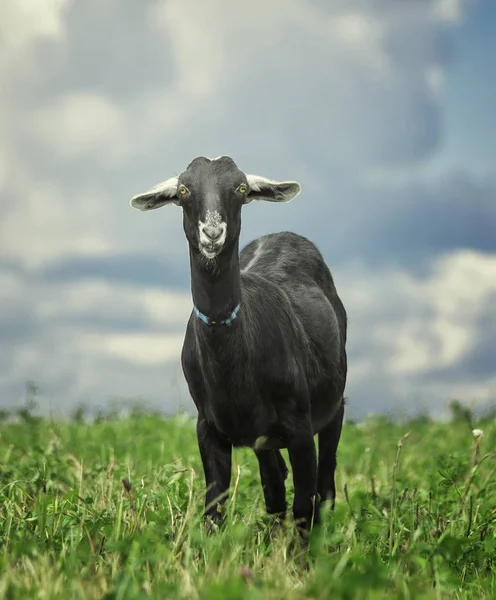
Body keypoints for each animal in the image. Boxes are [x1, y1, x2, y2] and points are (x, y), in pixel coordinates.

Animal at [132, 155, 348, 536]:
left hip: (334, 407)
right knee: (274, 486)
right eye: (184, 190)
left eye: (242, 188)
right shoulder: (208, 427)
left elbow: (304, 507)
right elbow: (214, 508)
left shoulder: (300, 427)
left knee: (325, 485)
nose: (212, 233)